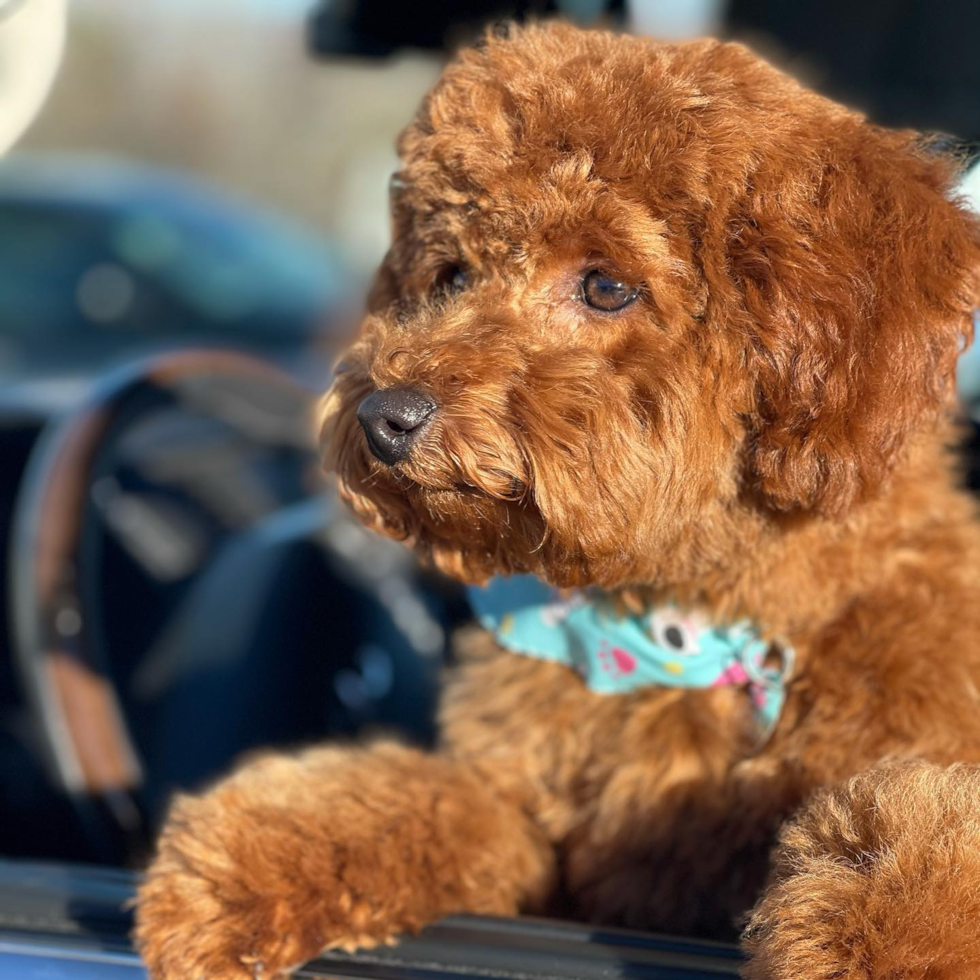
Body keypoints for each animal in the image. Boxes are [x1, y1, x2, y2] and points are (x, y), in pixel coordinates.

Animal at [134, 23, 980, 980]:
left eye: (606, 285)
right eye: (450, 274)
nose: (386, 416)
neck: (678, 622)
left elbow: (920, 831)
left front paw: (890, 941)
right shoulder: (518, 810)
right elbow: (416, 804)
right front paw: (237, 863)